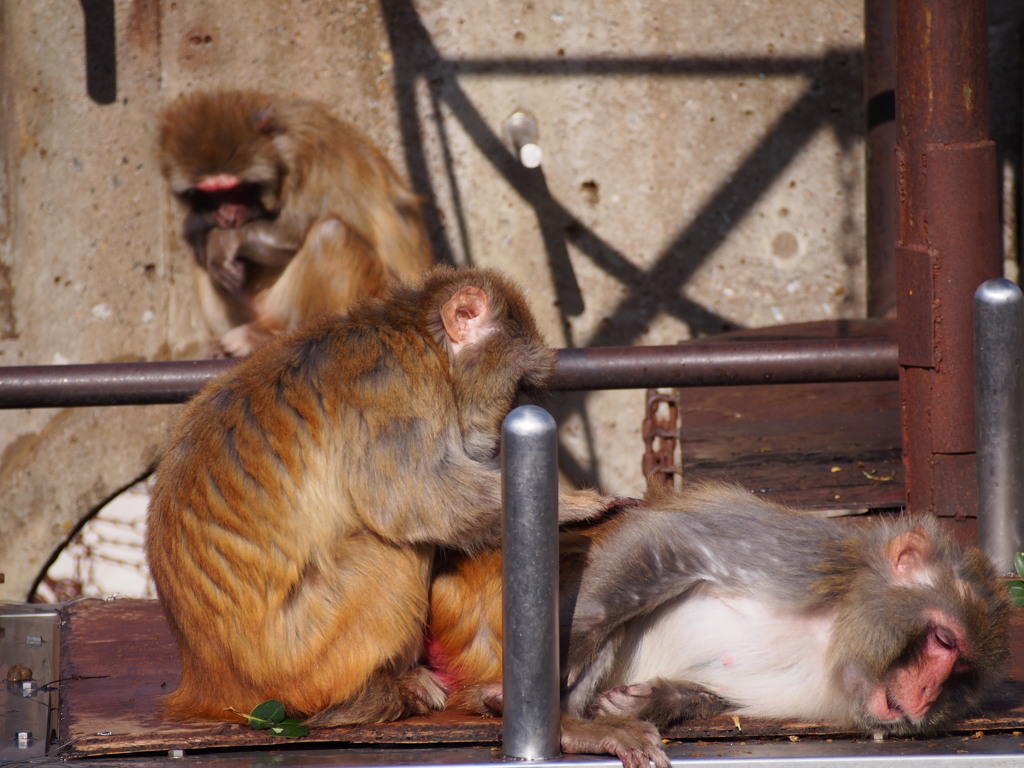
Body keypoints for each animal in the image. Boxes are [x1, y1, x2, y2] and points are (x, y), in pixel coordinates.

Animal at [146, 268, 614, 729]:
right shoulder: (395, 387)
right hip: (303, 659)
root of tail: (209, 684)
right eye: (516, 387)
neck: (423, 341)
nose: (503, 433)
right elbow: (416, 501)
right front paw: (573, 506)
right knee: (389, 550)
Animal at [158, 89, 432, 358]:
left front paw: (225, 239)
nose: (226, 216)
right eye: (210, 195)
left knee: (330, 233)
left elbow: (294, 232)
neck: (282, 149)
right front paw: (199, 228)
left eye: (236, 190)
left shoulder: (316, 157)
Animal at [428, 481, 1011, 768]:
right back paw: (571, 728)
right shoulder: (802, 559)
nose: (928, 692)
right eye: (942, 639)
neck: (833, 634)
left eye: (959, 672)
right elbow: (667, 540)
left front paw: (652, 701)